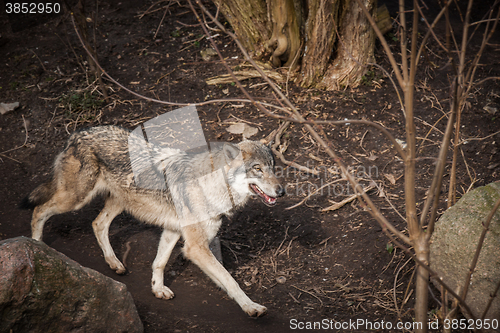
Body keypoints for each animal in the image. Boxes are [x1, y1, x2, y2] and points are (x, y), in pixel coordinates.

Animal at [20, 124, 286, 316]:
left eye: (273, 168)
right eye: (257, 169)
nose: (281, 191)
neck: (213, 185)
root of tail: (77, 133)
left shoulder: (173, 230)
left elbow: (159, 262)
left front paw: (157, 289)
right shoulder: (196, 247)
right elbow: (230, 280)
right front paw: (251, 307)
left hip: (119, 202)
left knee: (98, 224)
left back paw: (115, 263)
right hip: (75, 199)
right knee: (39, 210)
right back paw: (38, 246)